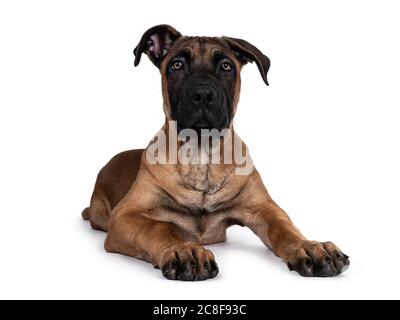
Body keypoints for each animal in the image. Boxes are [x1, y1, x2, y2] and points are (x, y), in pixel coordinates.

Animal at [83, 24, 348, 280]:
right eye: (177, 65)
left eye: (226, 66)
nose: (203, 94)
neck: (201, 158)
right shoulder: (126, 215)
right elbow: (159, 227)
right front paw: (183, 250)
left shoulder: (264, 209)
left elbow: (284, 228)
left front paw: (310, 247)